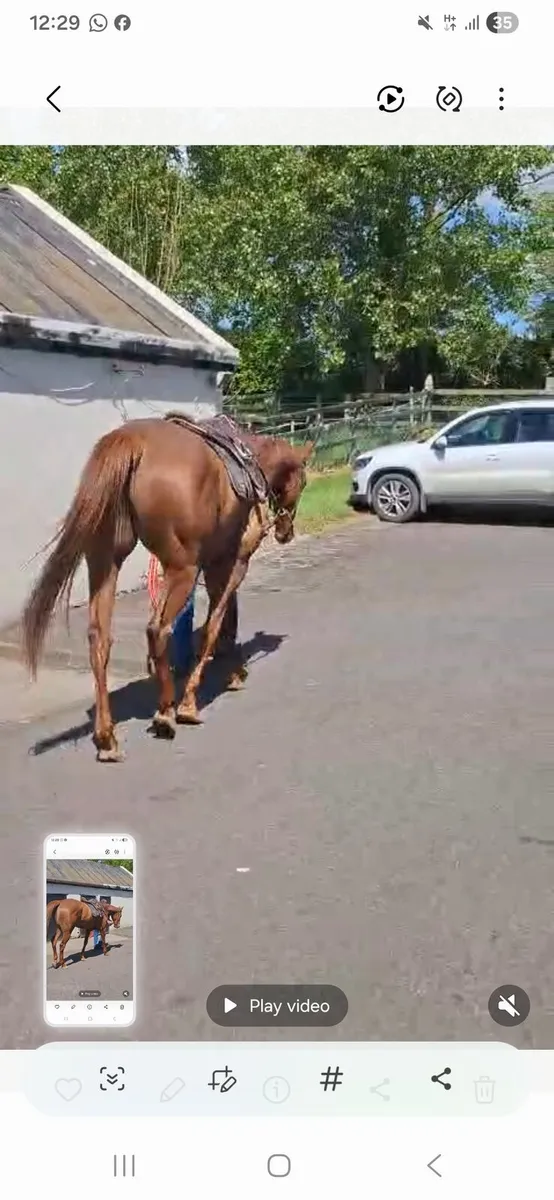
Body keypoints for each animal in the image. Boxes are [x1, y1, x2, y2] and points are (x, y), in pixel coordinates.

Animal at [21, 416, 312, 762]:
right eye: (303, 482)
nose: (285, 532)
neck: (252, 462)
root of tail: (131, 442)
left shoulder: (217, 563)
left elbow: (226, 618)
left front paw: (233, 672)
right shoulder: (234, 561)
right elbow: (215, 624)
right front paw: (195, 700)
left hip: (105, 561)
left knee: (99, 639)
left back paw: (107, 739)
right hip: (182, 569)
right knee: (157, 630)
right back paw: (166, 713)